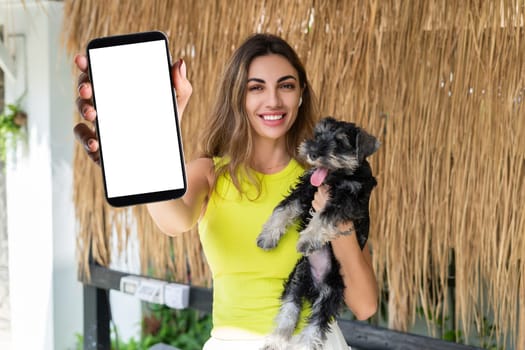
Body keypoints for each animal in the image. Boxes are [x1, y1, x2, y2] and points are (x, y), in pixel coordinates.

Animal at [256, 117, 378, 350]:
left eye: (339, 142)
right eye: (319, 134)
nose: (312, 152)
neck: (338, 177)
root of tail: (314, 286)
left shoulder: (347, 200)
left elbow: (323, 217)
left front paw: (308, 239)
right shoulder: (305, 188)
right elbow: (284, 208)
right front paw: (267, 236)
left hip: (330, 295)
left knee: (315, 326)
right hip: (297, 280)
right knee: (289, 311)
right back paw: (276, 340)